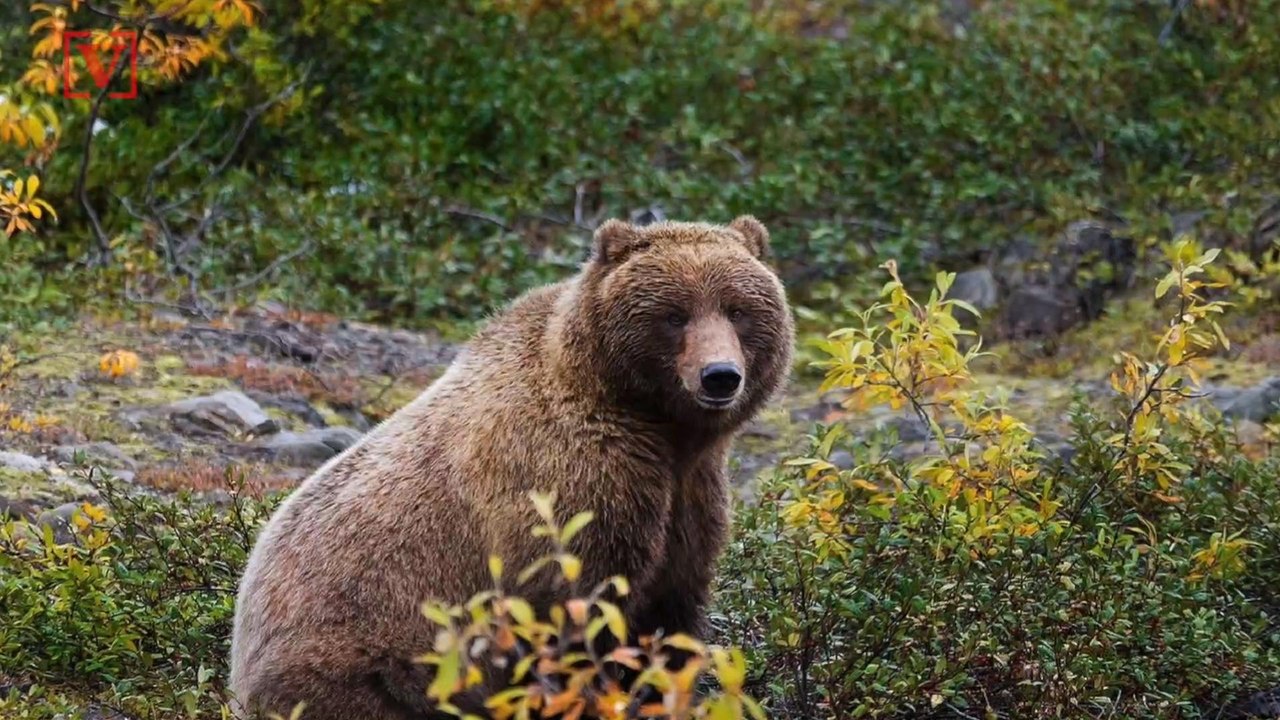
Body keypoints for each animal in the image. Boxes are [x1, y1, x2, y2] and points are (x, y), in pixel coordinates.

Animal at [228, 215, 795, 720]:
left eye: (737, 309)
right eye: (675, 314)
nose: (719, 376)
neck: (656, 426)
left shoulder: (689, 496)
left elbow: (670, 618)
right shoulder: (569, 482)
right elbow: (573, 614)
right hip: (367, 656)